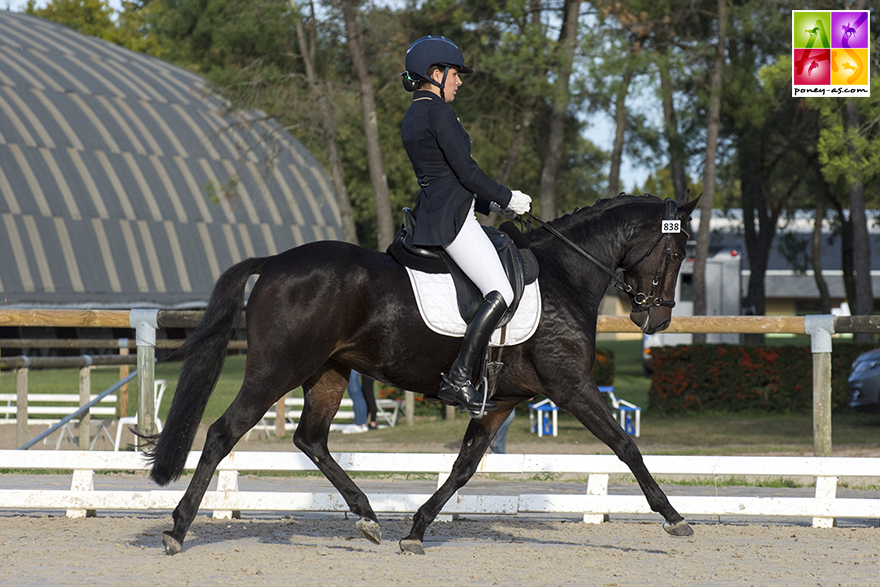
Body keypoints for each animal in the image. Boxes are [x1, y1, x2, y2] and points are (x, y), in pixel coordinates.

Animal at [144, 192, 700, 556]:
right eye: (676, 252)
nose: (657, 320)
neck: (566, 274)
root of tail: (276, 261)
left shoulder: (499, 402)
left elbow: (463, 468)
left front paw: (416, 530)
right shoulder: (572, 386)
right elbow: (626, 446)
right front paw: (674, 518)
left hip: (329, 372)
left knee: (311, 439)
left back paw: (368, 517)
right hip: (277, 369)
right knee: (223, 432)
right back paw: (177, 528)